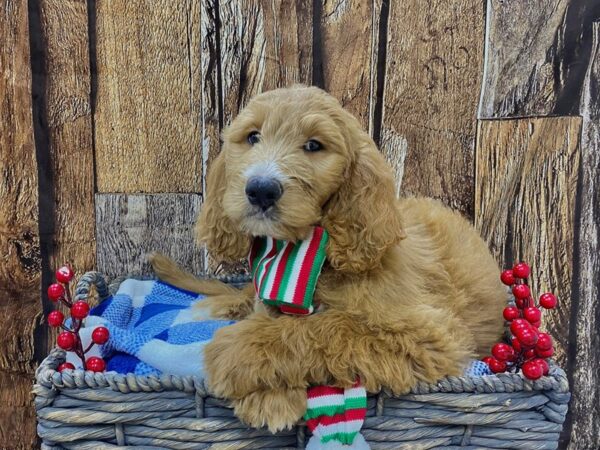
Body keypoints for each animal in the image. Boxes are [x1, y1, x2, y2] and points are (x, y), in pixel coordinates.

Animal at [150, 85, 506, 432]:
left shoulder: (426, 335)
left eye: (313, 145)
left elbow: (327, 328)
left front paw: (238, 352)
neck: (304, 255)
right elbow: (278, 320)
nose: (261, 190)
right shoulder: (270, 297)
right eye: (252, 137)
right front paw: (269, 396)